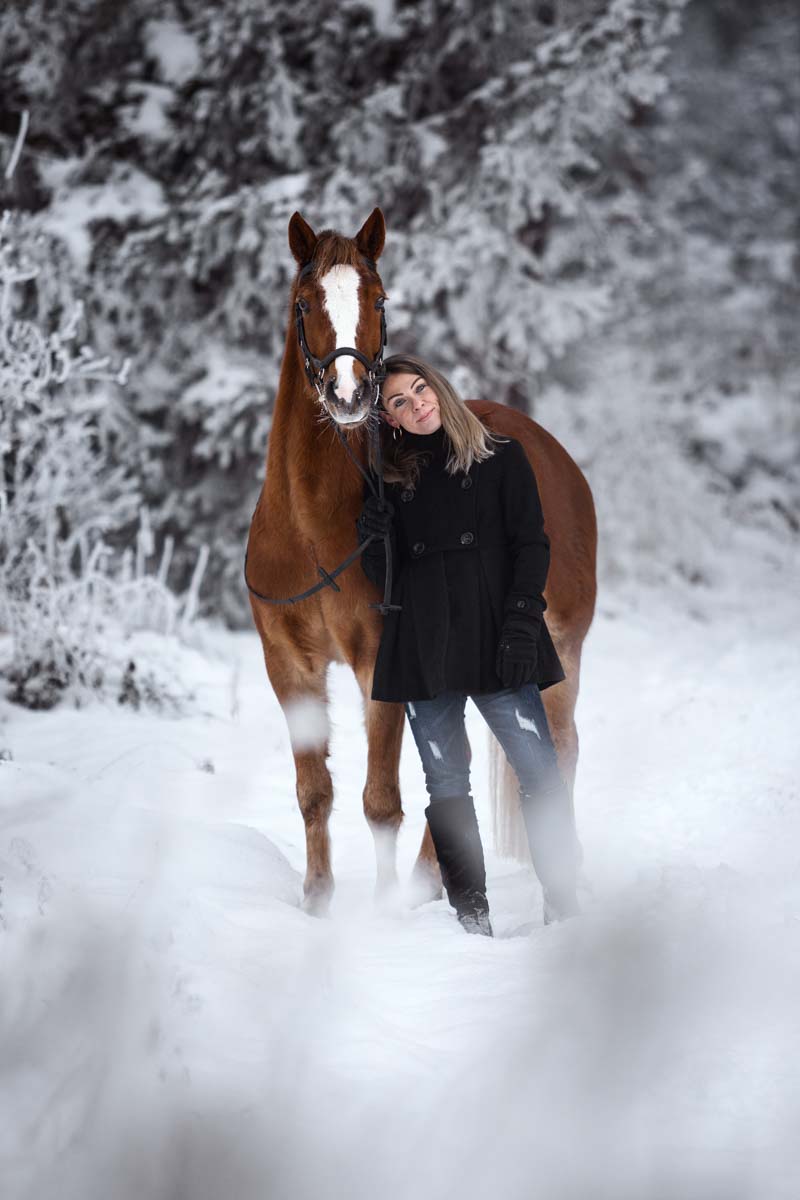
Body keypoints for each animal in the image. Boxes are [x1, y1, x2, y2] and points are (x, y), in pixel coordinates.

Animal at [247, 211, 597, 912]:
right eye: (305, 303)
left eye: (379, 300)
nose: (349, 394)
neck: (311, 528)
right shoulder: (288, 667)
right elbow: (314, 794)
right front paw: (318, 904)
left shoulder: (379, 663)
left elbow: (381, 800)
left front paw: (384, 911)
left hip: (561, 652)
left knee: (558, 751)